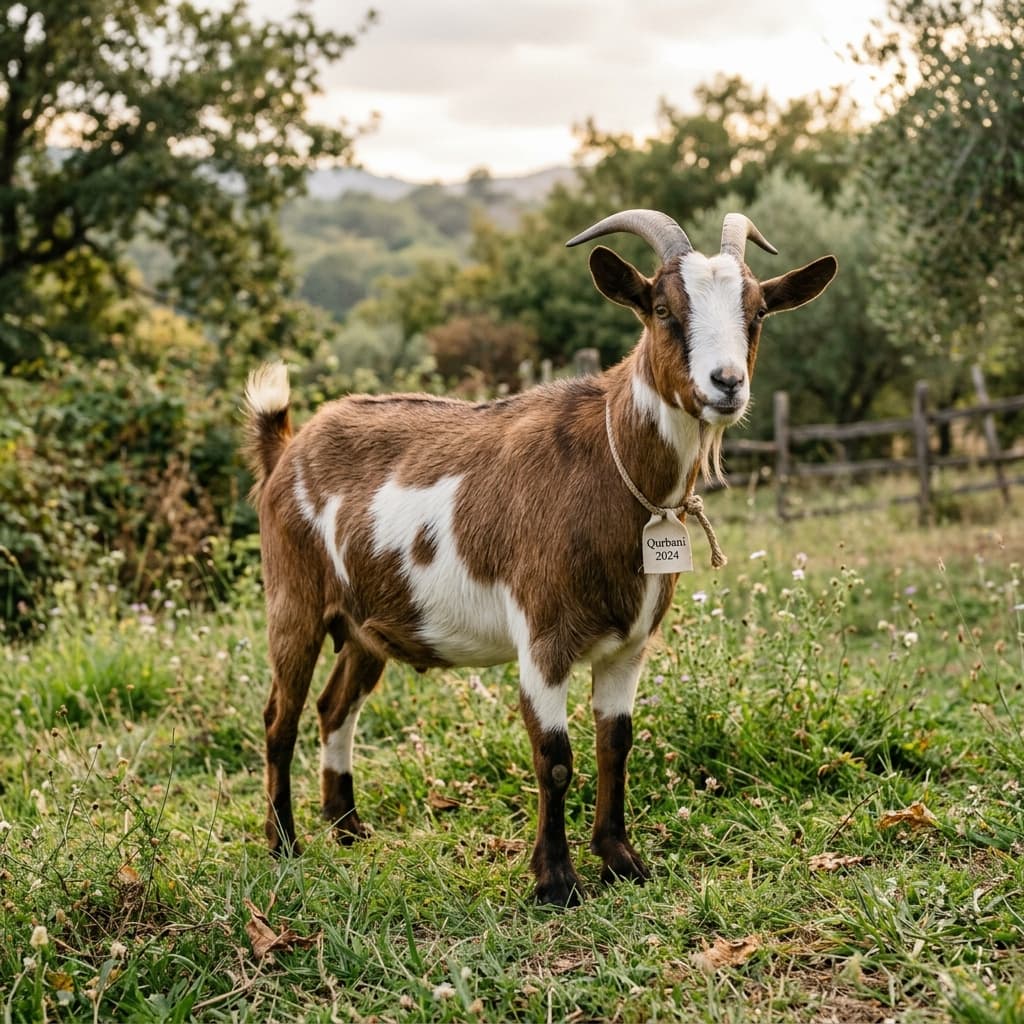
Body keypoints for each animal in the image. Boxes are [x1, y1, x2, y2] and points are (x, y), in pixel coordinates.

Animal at [243, 208, 837, 906]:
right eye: (663, 309)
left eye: (758, 311)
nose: (726, 384)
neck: (611, 468)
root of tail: (286, 448)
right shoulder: (542, 637)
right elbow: (554, 758)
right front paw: (556, 880)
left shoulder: (628, 646)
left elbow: (616, 745)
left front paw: (622, 861)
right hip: (294, 599)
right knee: (278, 716)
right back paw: (284, 843)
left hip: (366, 626)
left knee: (334, 708)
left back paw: (348, 828)